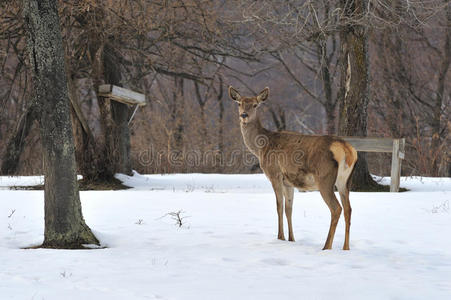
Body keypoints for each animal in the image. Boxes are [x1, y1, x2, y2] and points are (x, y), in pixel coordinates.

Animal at [231, 85, 358, 250]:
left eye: (255, 105)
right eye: (239, 103)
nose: (244, 115)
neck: (261, 148)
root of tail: (346, 149)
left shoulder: (275, 174)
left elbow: (279, 206)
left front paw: (280, 237)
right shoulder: (288, 182)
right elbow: (288, 209)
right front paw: (292, 239)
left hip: (324, 178)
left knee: (336, 208)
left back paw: (326, 246)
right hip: (345, 180)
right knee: (348, 208)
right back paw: (345, 248)